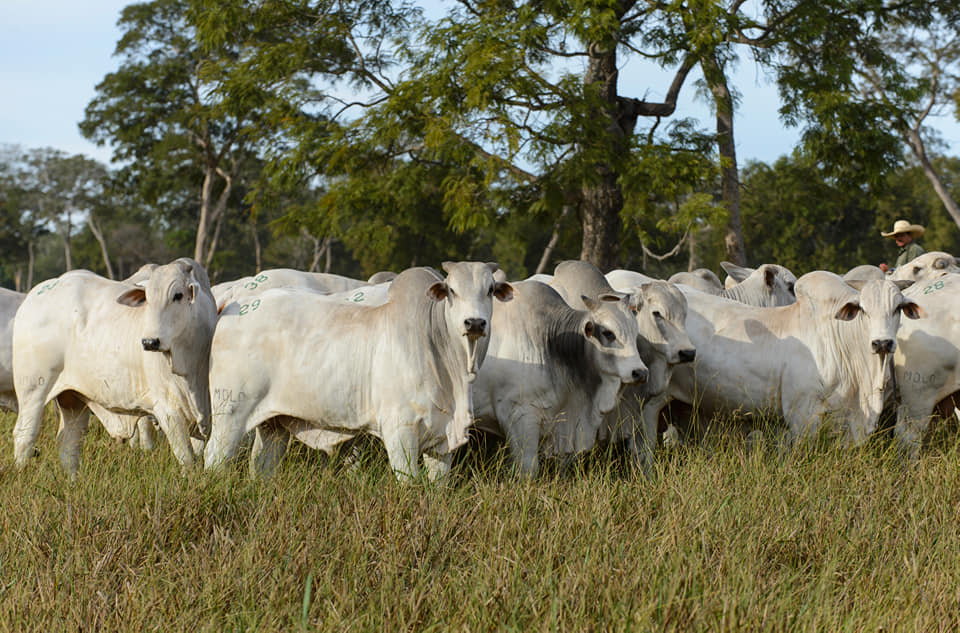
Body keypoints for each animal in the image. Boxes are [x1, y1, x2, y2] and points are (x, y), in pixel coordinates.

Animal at [13, 258, 218, 474]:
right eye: (147, 298)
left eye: (178, 295)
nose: (149, 342)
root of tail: (35, 294)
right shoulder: (168, 411)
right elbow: (187, 460)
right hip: (33, 391)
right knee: (25, 435)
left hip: (72, 398)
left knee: (69, 442)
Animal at [205, 262, 512, 478]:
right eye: (452, 291)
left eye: (489, 290)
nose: (474, 323)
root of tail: (236, 305)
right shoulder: (399, 432)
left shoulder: (442, 442)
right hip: (230, 413)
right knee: (214, 458)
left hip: (274, 424)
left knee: (262, 465)